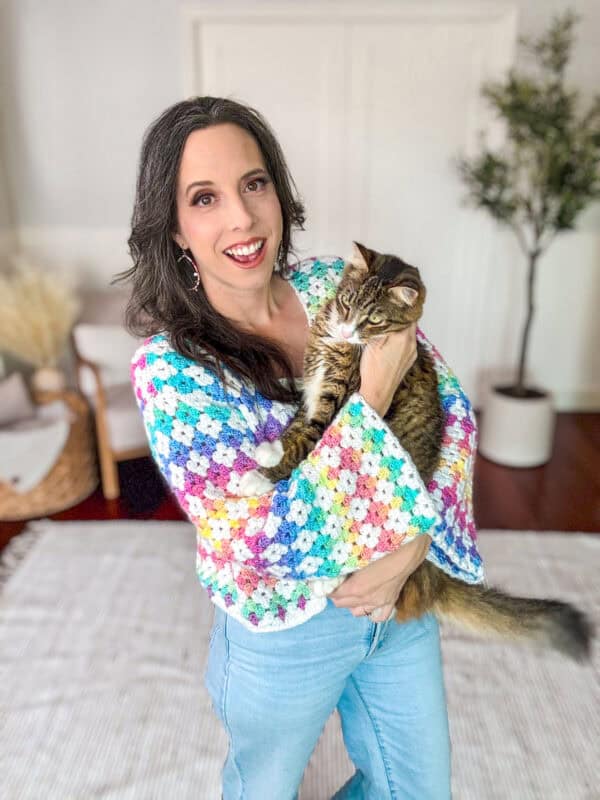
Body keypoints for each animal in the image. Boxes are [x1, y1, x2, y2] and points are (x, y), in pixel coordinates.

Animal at [238, 241, 592, 660]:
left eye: (373, 320)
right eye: (345, 302)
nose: (345, 327)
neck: (335, 343)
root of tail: (432, 582)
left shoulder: (337, 398)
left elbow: (308, 439)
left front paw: (261, 475)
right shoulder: (313, 391)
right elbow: (295, 426)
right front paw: (268, 452)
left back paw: (329, 582)